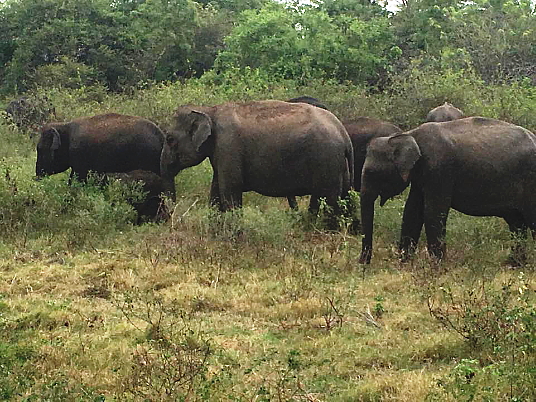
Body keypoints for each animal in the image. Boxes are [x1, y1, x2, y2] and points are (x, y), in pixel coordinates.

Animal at [161, 101, 354, 220]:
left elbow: (230, 188)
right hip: (339, 166)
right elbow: (216, 190)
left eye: (169, 139)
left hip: (326, 161)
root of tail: (343, 133)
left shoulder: (228, 146)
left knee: (326, 200)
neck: (209, 110)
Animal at [358, 116, 536, 266]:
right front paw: (405, 264)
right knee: (516, 223)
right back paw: (514, 264)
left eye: (372, 173)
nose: (363, 264)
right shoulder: (421, 176)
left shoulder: (439, 169)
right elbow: (412, 212)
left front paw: (437, 267)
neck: (409, 134)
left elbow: (433, 212)